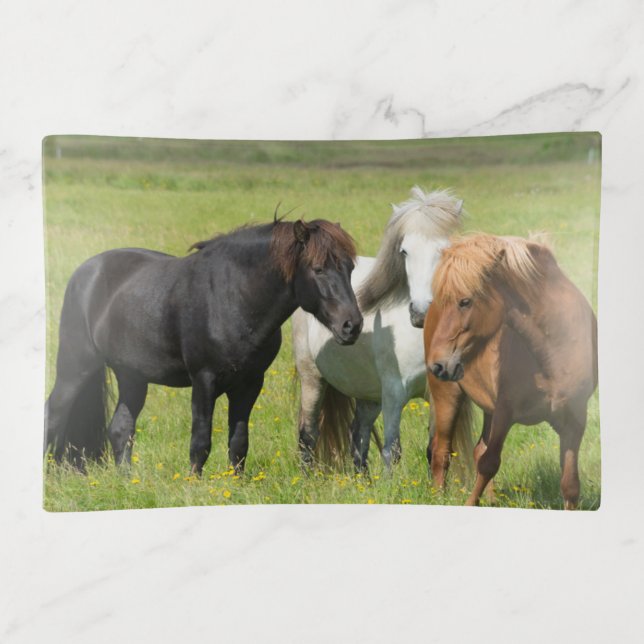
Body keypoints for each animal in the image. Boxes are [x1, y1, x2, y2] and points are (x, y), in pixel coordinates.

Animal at [45, 217, 363, 475]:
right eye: (318, 269)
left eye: (350, 268)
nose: (352, 325)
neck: (233, 297)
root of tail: (85, 272)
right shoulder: (204, 380)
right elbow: (200, 442)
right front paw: (194, 485)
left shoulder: (249, 384)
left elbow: (238, 442)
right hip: (75, 369)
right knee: (53, 414)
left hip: (132, 377)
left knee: (121, 429)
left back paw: (126, 481)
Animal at [292, 187, 472, 470]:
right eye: (404, 251)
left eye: (444, 250)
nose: (420, 313)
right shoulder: (394, 394)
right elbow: (391, 451)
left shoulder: (437, 395)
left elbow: (435, 451)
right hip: (313, 379)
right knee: (308, 435)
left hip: (368, 394)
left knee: (358, 435)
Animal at [424, 234, 597, 509]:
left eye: (465, 301)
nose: (437, 364)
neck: (554, 350)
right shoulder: (505, 411)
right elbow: (489, 463)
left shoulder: (574, 420)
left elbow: (570, 485)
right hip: (447, 395)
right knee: (442, 452)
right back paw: (438, 498)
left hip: (487, 407)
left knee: (475, 449)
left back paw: (492, 499)